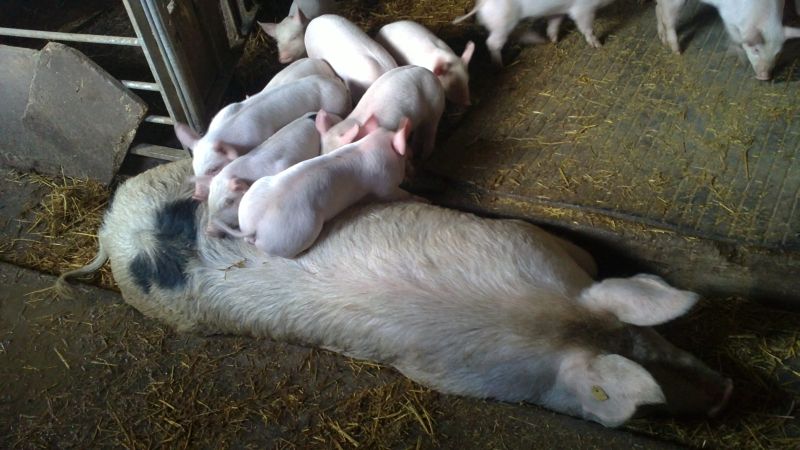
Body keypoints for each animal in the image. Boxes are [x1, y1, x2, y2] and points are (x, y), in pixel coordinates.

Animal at [56, 158, 733, 428]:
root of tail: (112, 230)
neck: (541, 320)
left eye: (649, 336)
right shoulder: (465, 373)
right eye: (640, 397)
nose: (727, 394)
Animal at [214, 117, 411, 258]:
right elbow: (395, 194)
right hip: (298, 234)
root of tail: (255, 225)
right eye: (405, 152)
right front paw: (416, 197)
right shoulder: (385, 185)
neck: (370, 146)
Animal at [453, 0, 617, 65]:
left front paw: (553, 40)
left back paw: (540, 40)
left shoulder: (558, 12)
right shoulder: (584, 9)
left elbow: (554, 24)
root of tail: (482, 4)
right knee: (492, 43)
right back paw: (499, 65)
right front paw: (598, 45)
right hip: (503, 24)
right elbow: (587, 28)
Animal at [655, 0, 800, 80]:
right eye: (756, 50)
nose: (764, 77)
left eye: (777, 53)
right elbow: (734, 36)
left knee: (659, 8)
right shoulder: (728, 15)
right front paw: (740, 57)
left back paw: (662, 39)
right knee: (668, 19)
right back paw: (677, 51)